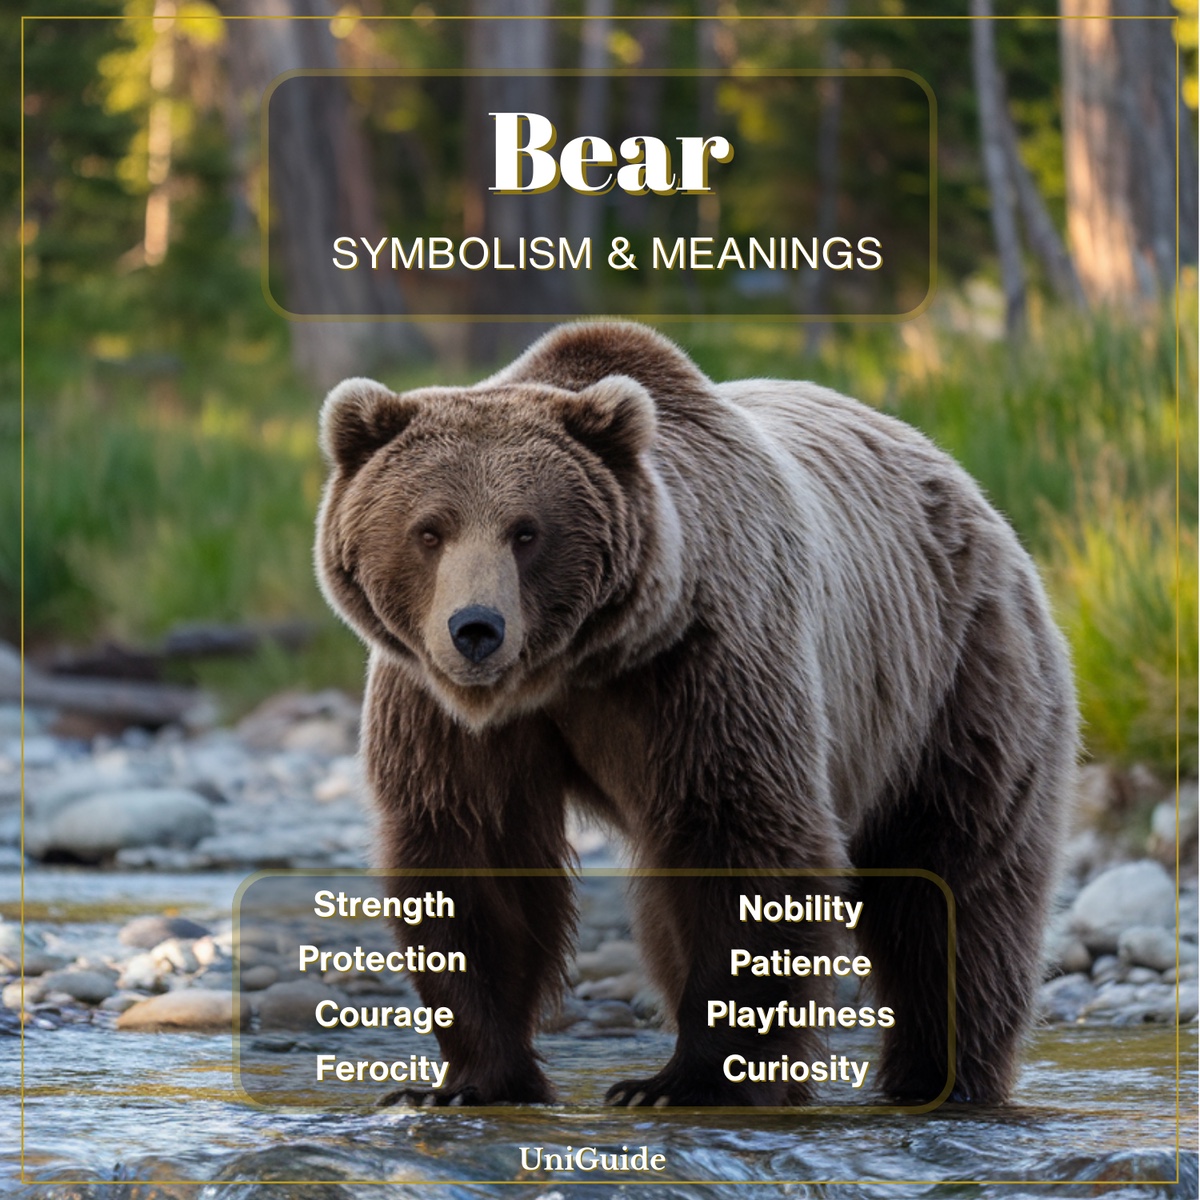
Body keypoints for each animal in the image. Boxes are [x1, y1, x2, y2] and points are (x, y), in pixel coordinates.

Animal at [314, 321, 1077, 1108]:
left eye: (526, 531)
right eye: (429, 530)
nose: (476, 629)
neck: (575, 666)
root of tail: (967, 488)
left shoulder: (706, 662)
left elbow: (740, 838)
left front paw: (684, 1080)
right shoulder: (444, 709)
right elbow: (474, 853)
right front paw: (464, 1082)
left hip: (952, 678)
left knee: (954, 886)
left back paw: (942, 1075)